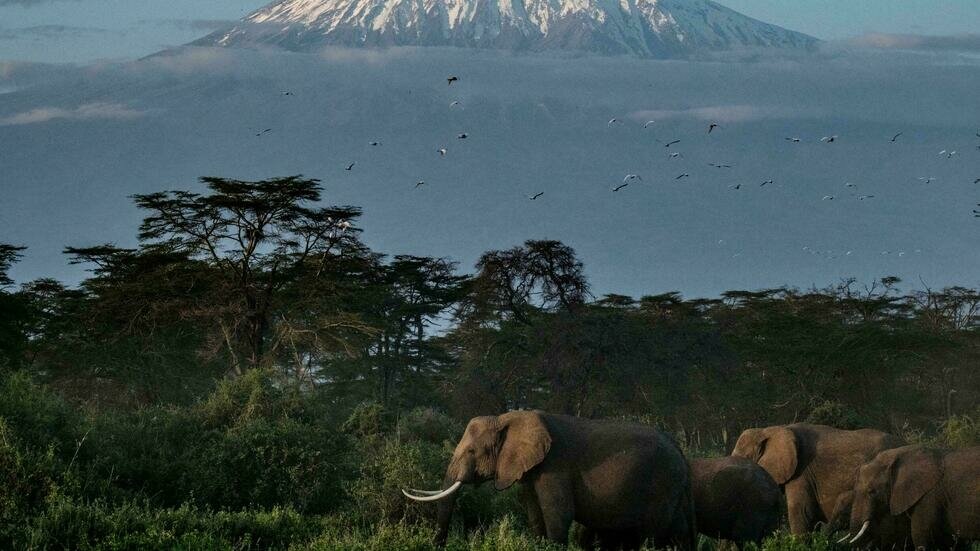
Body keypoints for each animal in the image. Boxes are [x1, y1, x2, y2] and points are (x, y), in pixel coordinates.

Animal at [404, 412, 696, 548]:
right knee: (679, 531)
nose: (438, 546)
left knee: (652, 534)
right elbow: (534, 512)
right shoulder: (529, 469)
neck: (507, 417)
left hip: (662, 484)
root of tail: (682, 453)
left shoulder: (556, 466)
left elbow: (558, 513)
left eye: (472, 452)